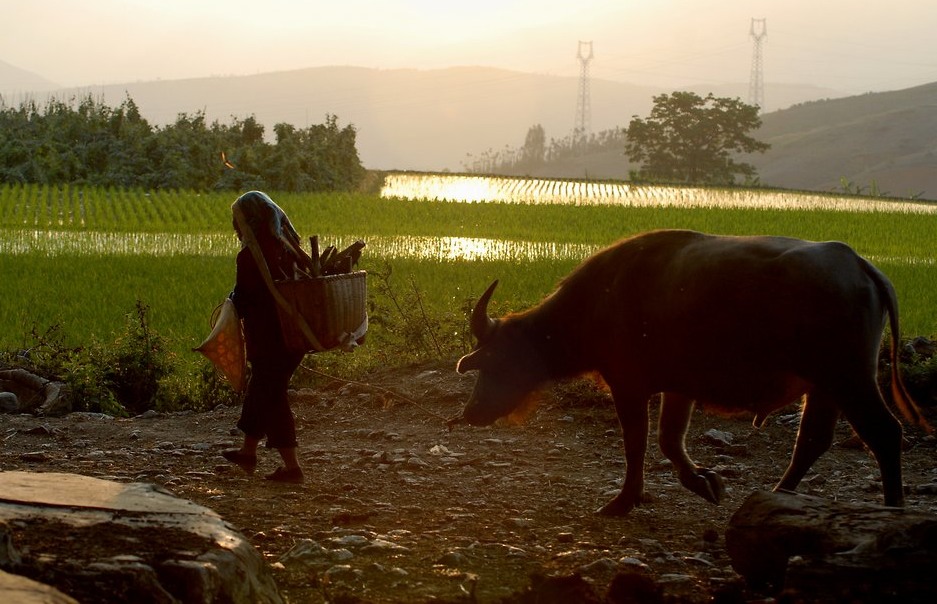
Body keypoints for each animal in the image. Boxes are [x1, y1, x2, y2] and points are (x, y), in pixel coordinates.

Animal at [454, 230, 928, 516]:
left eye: (494, 361)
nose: (471, 412)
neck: (599, 301)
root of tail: (860, 265)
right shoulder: (678, 389)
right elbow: (668, 440)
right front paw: (704, 482)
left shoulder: (629, 385)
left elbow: (637, 444)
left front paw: (623, 501)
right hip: (824, 387)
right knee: (812, 440)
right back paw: (780, 495)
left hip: (850, 379)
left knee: (884, 434)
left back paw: (892, 507)